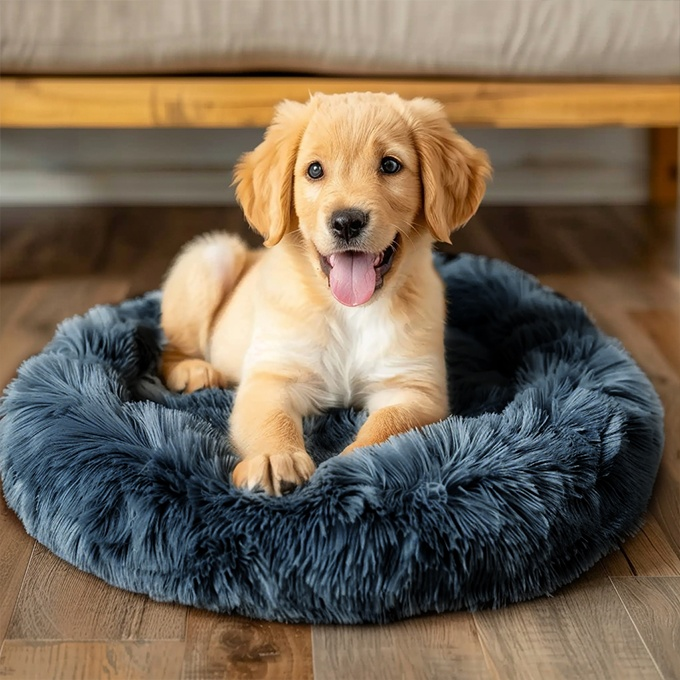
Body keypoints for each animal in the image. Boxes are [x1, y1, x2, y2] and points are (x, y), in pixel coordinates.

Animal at [161, 91, 488, 494]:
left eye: (390, 165)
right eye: (314, 170)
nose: (347, 222)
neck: (351, 311)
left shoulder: (415, 388)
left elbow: (386, 428)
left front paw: (351, 463)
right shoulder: (273, 376)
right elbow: (271, 421)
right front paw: (273, 458)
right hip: (211, 256)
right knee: (170, 348)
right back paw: (192, 371)